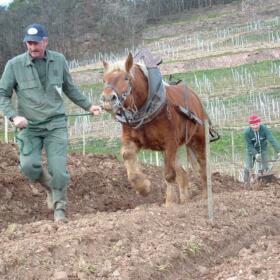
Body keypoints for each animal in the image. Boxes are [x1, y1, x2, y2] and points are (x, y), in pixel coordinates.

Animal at [100, 53, 210, 206]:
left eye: (126, 78)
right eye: (104, 79)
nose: (107, 99)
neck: (148, 107)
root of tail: (195, 97)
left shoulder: (170, 141)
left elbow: (169, 174)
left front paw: (170, 202)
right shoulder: (132, 139)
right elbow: (127, 155)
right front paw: (143, 187)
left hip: (198, 139)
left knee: (202, 166)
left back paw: (205, 196)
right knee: (182, 174)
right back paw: (185, 200)